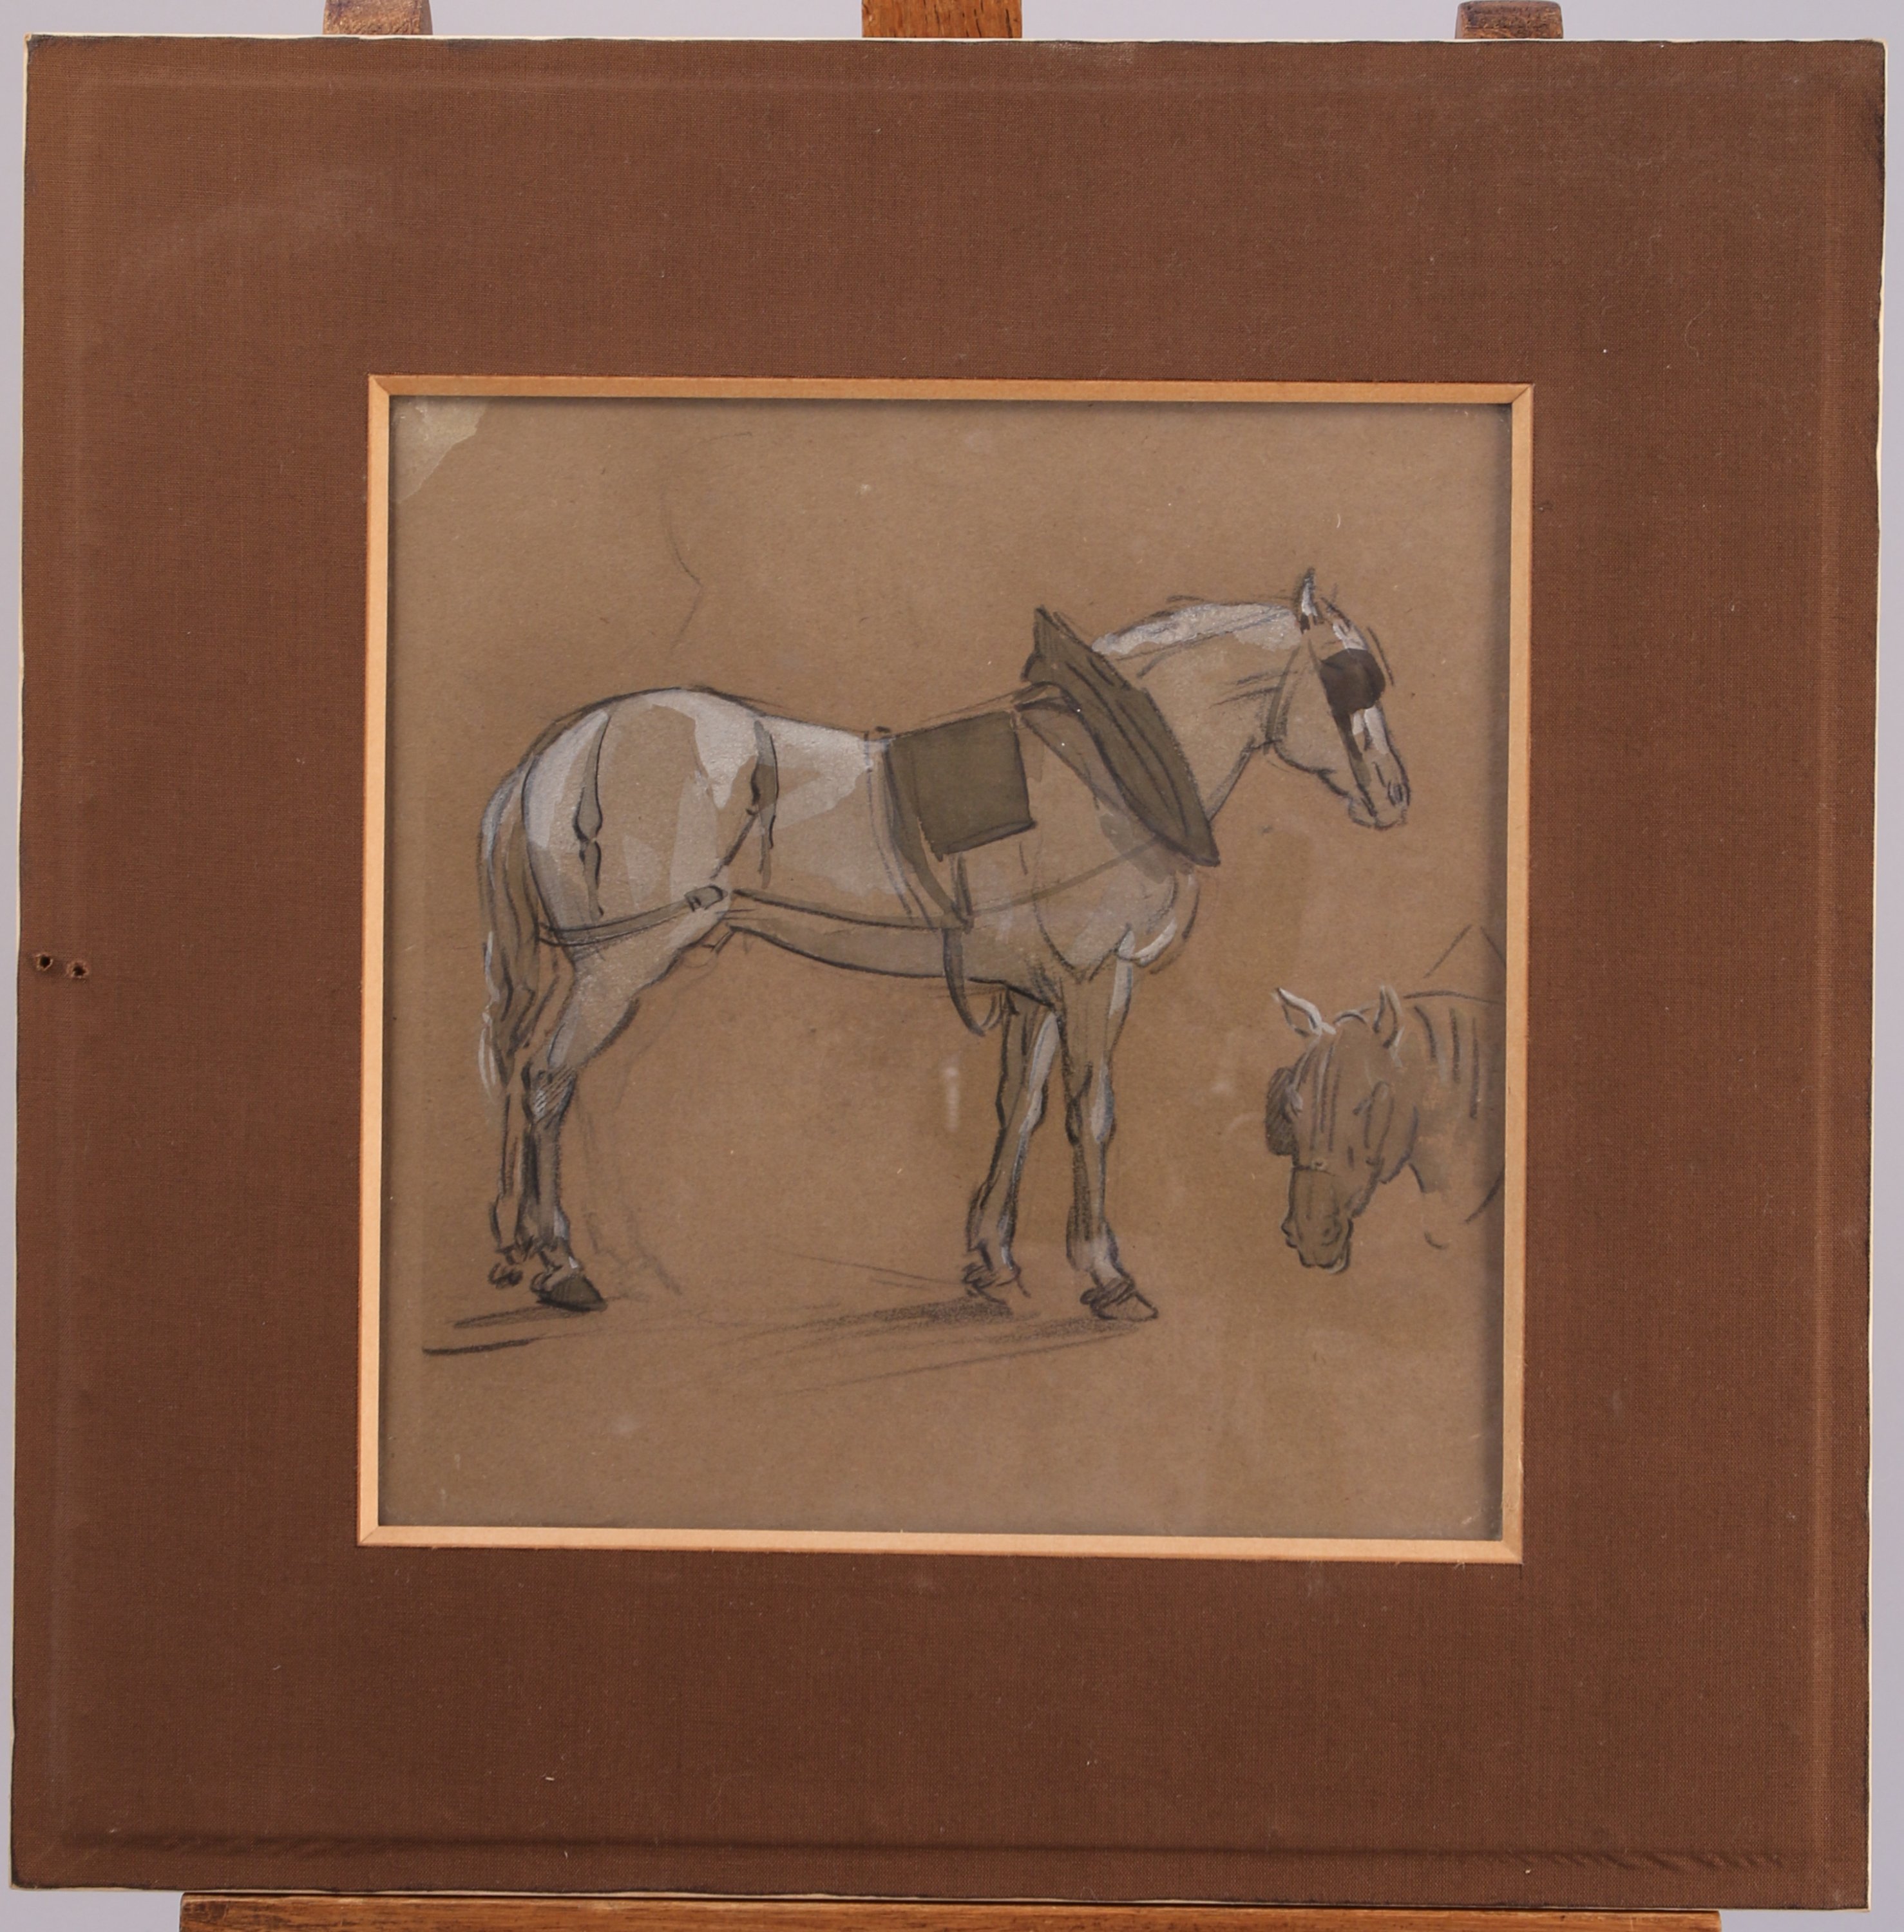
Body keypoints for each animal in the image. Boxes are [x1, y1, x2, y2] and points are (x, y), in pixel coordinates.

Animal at [478, 570, 1411, 1323]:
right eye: (1345, 676)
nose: (1396, 796)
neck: (1103, 772)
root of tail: (559, 751)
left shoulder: (1035, 990)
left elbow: (1019, 1108)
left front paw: (991, 1260)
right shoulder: (1094, 977)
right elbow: (1091, 1114)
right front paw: (1106, 1274)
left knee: (524, 1070)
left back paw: (518, 1247)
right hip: (618, 965)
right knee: (549, 1082)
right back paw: (561, 1265)